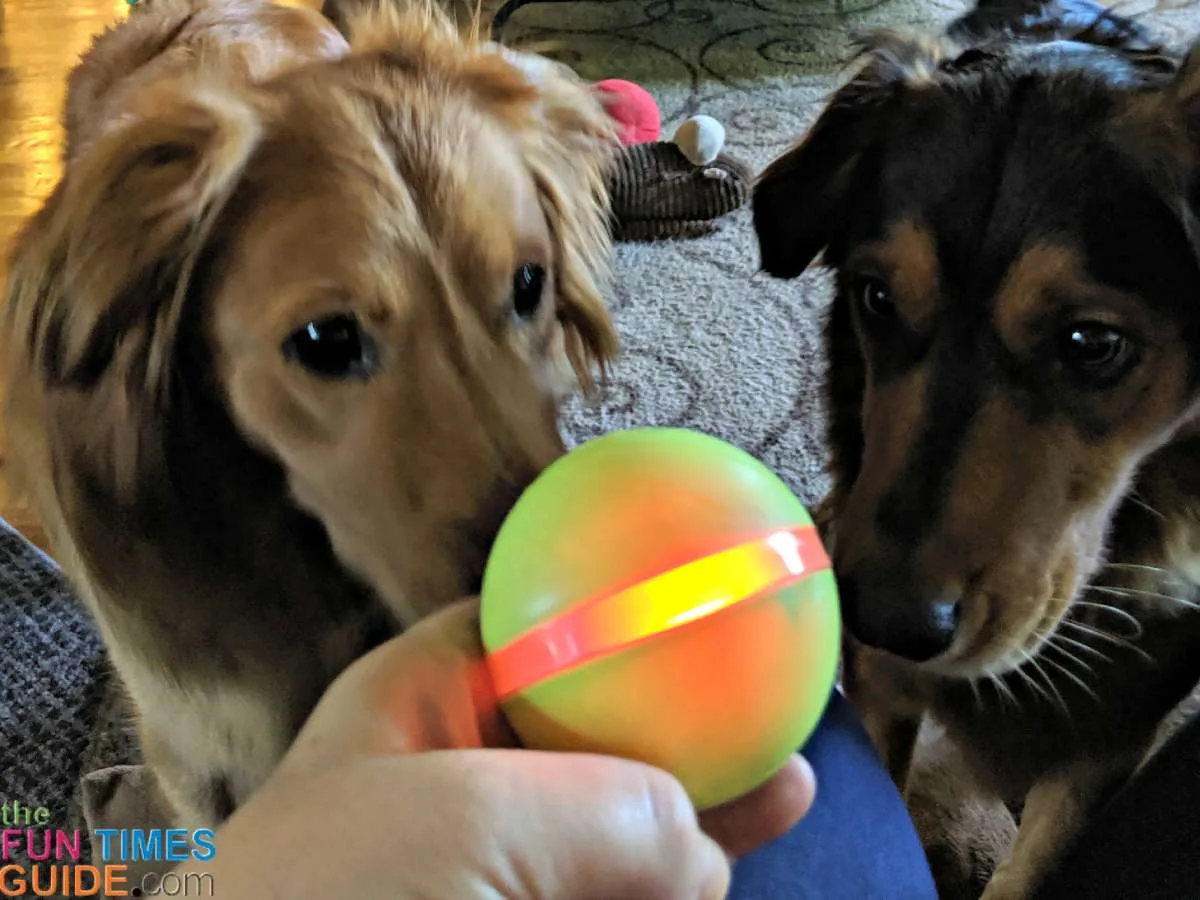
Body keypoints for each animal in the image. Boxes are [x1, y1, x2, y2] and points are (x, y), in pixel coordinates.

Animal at [753, 3, 1200, 897]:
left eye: (1093, 343)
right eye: (876, 297)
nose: (882, 619)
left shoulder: (1113, 728)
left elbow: (1035, 864)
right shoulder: (884, 685)